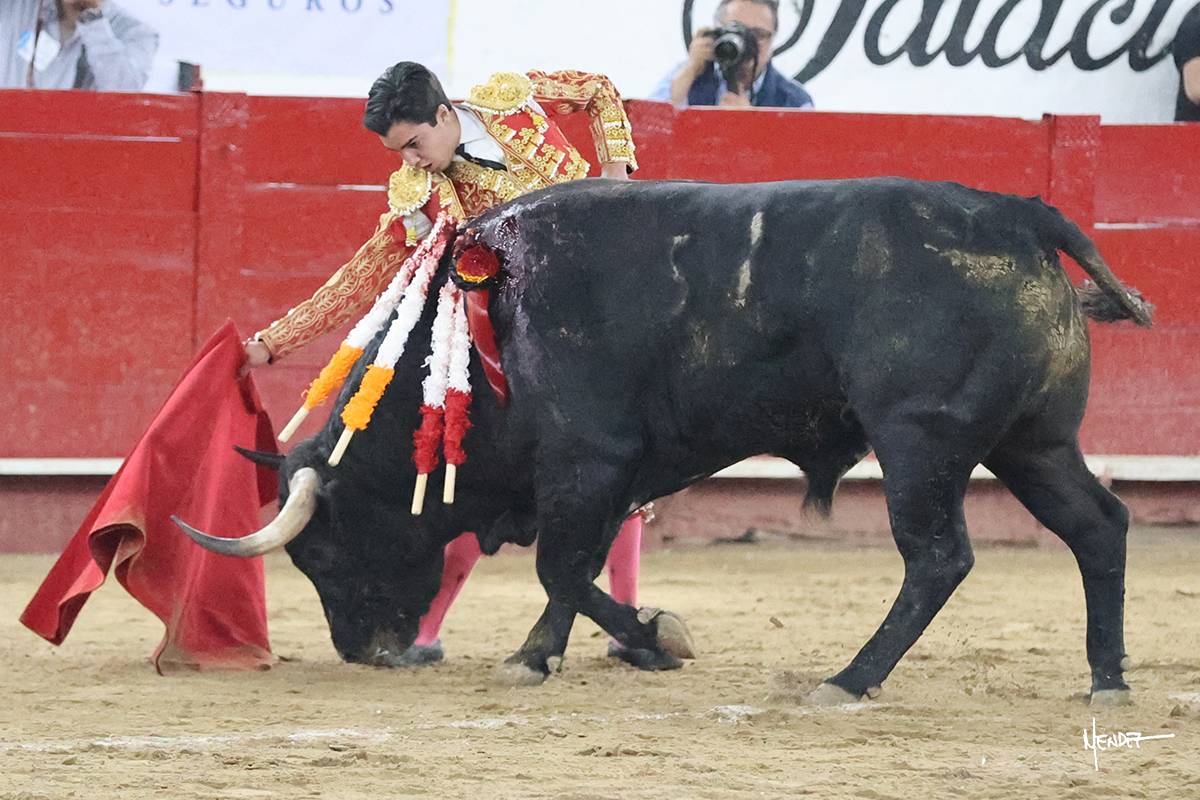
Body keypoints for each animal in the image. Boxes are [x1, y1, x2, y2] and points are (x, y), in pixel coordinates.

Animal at [178, 176, 1152, 706]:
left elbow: (560, 566)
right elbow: (576, 569)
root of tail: (1020, 216)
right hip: (1031, 442)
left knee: (939, 557)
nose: (364, 652)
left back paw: (847, 680)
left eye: (321, 556)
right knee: (1099, 526)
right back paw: (1106, 677)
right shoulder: (603, 475)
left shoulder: (589, 460)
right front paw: (576, 650)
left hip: (921, 441)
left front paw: (628, 641)